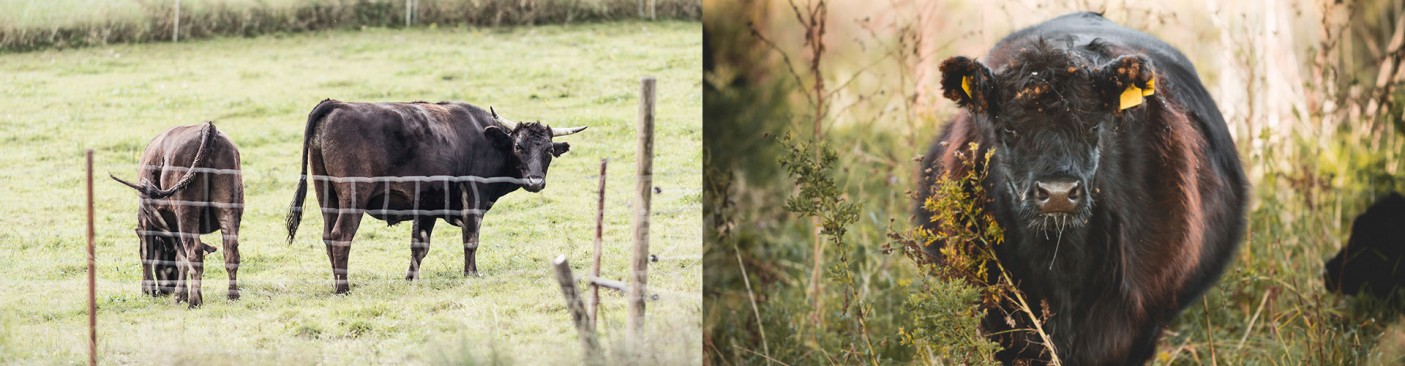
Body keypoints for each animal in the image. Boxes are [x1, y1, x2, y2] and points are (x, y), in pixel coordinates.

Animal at [110, 123, 243, 308]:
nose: (166, 290)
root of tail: (207, 127)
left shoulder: (145, 220)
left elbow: (146, 254)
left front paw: (149, 291)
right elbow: (181, 259)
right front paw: (180, 294)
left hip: (186, 211)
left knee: (195, 251)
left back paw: (194, 301)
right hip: (227, 208)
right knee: (231, 251)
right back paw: (232, 295)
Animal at [285, 99, 587, 294]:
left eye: (548, 150)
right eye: (518, 146)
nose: (535, 181)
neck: (486, 138)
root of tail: (336, 104)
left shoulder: (426, 207)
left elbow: (419, 246)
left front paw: (411, 279)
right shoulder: (473, 198)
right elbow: (471, 240)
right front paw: (471, 273)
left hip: (327, 195)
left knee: (327, 236)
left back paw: (337, 282)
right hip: (353, 198)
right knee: (341, 236)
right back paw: (344, 288)